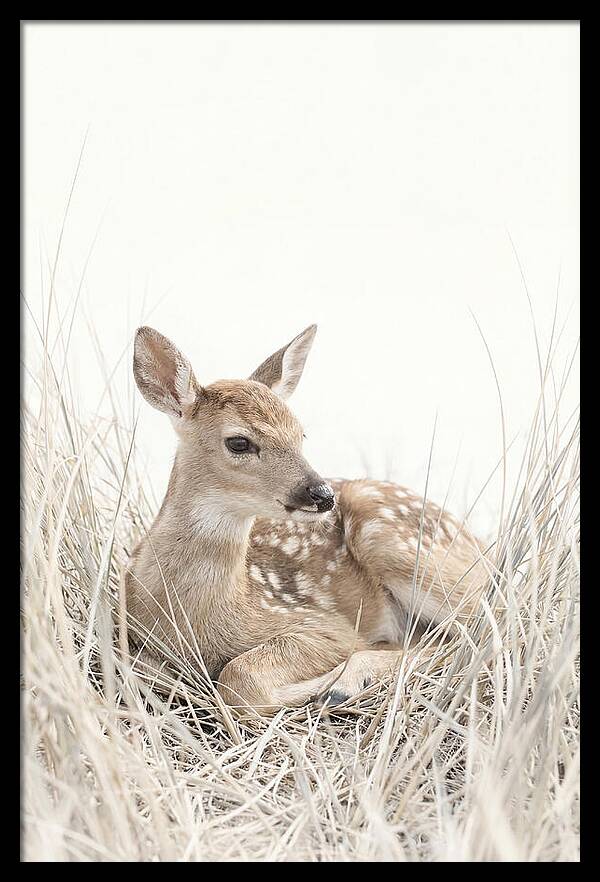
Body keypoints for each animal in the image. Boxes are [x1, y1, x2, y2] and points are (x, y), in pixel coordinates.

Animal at [123, 324, 489, 716]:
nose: (322, 494)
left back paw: (343, 685)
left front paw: (317, 688)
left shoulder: (324, 625)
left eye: (301, 434)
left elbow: (240, 679)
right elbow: (143, 670)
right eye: (239, 442)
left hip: (393, 540)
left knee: (480, 629)